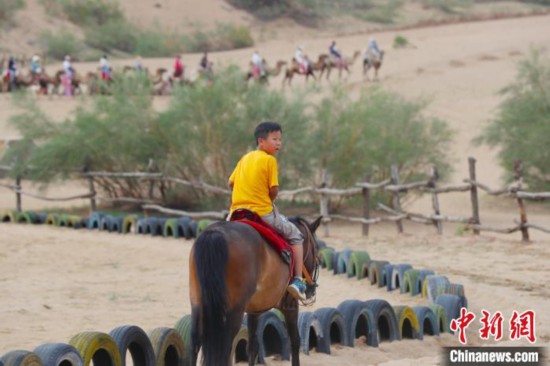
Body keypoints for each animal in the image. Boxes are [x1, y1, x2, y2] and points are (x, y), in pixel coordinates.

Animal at [189, 216, 322, 364]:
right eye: (316, 249)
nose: (311, 289)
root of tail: (214, 234)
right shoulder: (290, 306)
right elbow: (295, 341)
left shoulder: (254, 311)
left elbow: (253, 345)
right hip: (234, 311)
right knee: (225, 346)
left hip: (198, 303)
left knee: (195, 341)